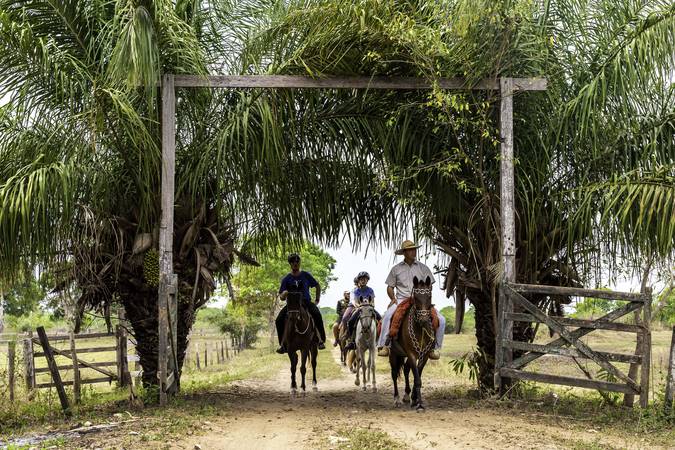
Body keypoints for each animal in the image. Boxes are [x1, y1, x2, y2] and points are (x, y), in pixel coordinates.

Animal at [389, 276, 435, 411]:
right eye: (416, 298)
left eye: (429, 296)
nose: (424, 319)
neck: (420, 328)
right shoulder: (412, 354)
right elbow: (417, 378)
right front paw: (419, 404)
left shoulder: (425, 355)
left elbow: (417, 375)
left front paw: (415, 399)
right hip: (394, 354)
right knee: (394, 373)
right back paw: (397, 399)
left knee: (405, 370)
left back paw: (406, 395)